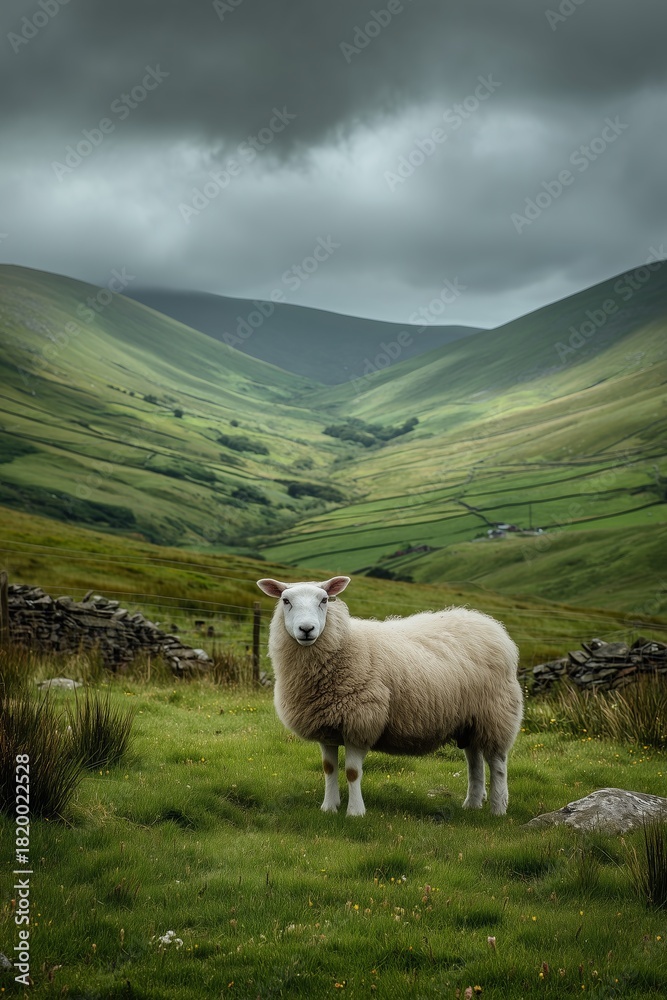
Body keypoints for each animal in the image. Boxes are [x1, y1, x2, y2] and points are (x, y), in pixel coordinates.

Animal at [256, 575, 523, 817]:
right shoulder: (327, 726)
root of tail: (488, 623)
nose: (306, 629)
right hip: (470, 719)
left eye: (324, 600)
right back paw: (472, 804)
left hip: (496, 713)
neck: (345, 645)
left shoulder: (360, 722)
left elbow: (352, 772)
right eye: (286, 600)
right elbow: (329, 768)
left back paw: (498, 809)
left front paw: (355, 812)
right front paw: (329, 808)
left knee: (497, 763)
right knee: (474, 760)